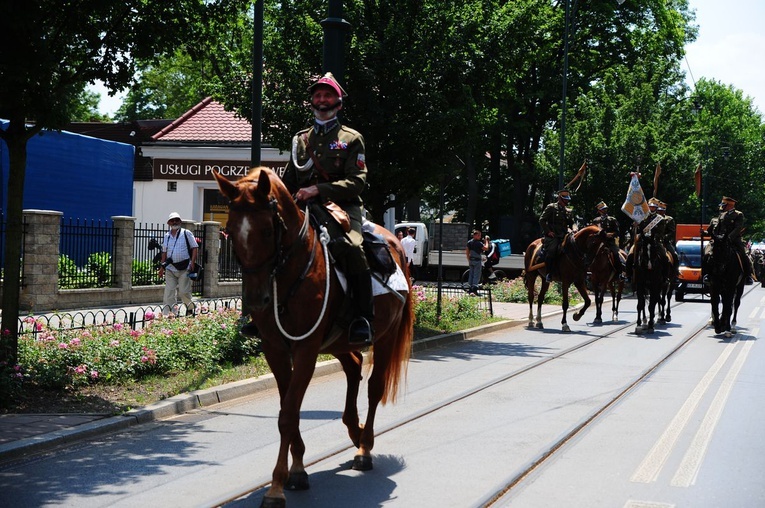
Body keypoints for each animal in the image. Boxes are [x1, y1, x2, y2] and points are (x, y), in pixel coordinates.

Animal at [212, 169, 414, 506]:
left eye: (267, 230)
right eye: (229, 230)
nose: (255, 301)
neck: (288, 273)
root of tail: (394, 242)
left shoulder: (305, 349)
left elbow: (288, 414)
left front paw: (276, 486)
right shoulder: (275, 349)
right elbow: (288, 410)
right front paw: (297, 470)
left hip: (386, 336)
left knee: (374, 387)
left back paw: (364, 447)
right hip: (337, 340)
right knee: (354, 366)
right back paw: (353, 429)